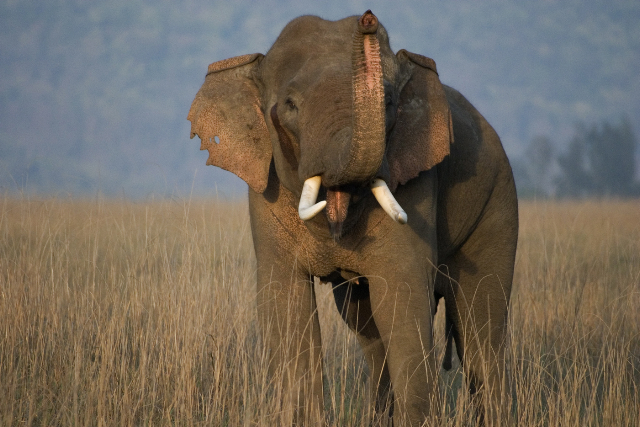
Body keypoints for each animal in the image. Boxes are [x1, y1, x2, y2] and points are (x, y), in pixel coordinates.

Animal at [188, 10, 516, 427]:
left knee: (481, 329)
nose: (367, 19)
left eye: (390, 102)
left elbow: (403, 299)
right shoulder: (266, 189)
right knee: (370, 331)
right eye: (290, 104)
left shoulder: (415, 179)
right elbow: (286, 305)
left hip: (497, 202)